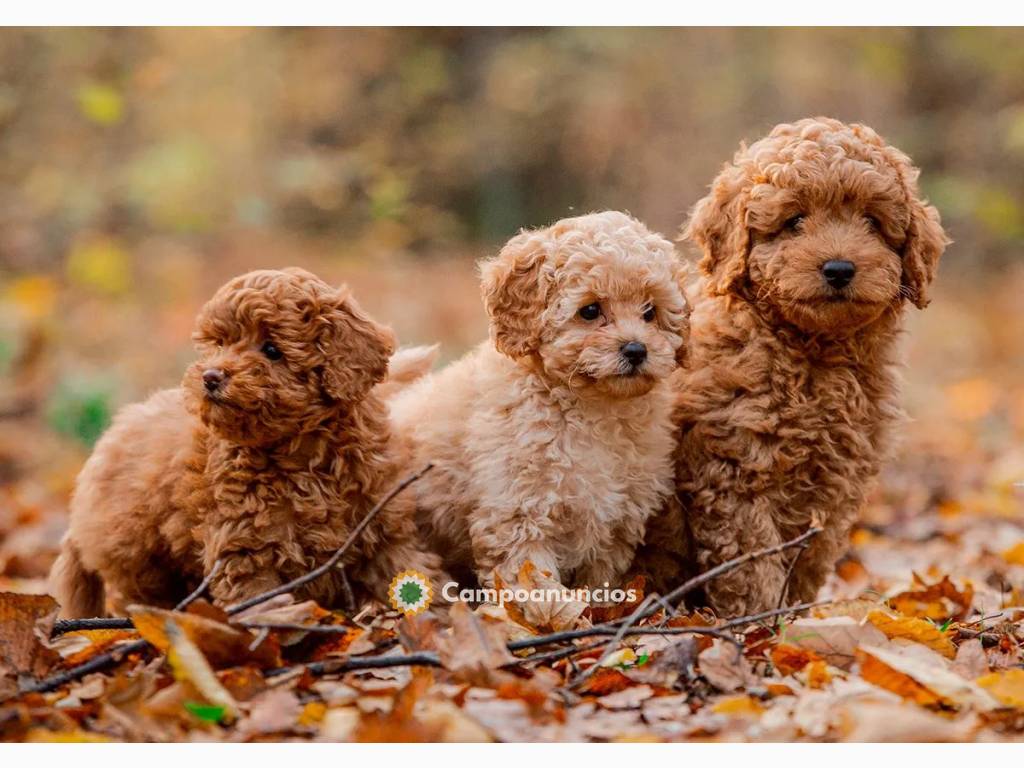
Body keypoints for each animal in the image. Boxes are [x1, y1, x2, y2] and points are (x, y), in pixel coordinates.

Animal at [50, 268, 440, 618]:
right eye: (219, 344)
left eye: (272, 349)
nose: (210, 377)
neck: (302, 450)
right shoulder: (246, 543)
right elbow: (256, 594)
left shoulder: (381, 520)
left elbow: (408, 565)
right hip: (138, 556)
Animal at [389, 214, 688, 593]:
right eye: (590, 310)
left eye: (650, 312)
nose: (636, 349)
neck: (593, 408)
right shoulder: (519, 512)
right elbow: (533, 584)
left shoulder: (615, 524)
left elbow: (599, 584)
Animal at [634, 115, 946, 618]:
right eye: (794, 221)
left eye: (871, 223)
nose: (839, 268)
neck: (813, 353)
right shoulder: (734, 470)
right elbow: (751, 562)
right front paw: (764, 620)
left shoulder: (836, 483)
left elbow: (810, 558)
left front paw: (796, 615)